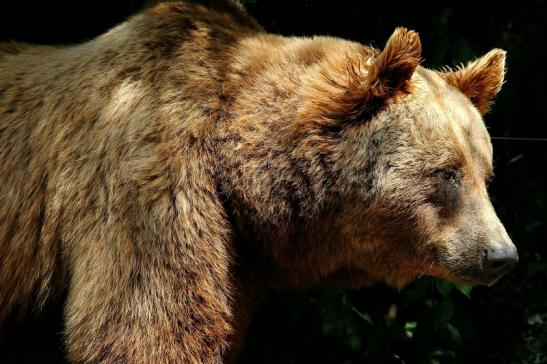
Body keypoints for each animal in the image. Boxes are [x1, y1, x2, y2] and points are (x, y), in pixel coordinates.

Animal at [0, 0, 520, 364]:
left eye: (486, 173)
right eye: (447, 172)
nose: (501, 255)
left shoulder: (236, 258)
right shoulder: (150, 197)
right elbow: (147, 328)